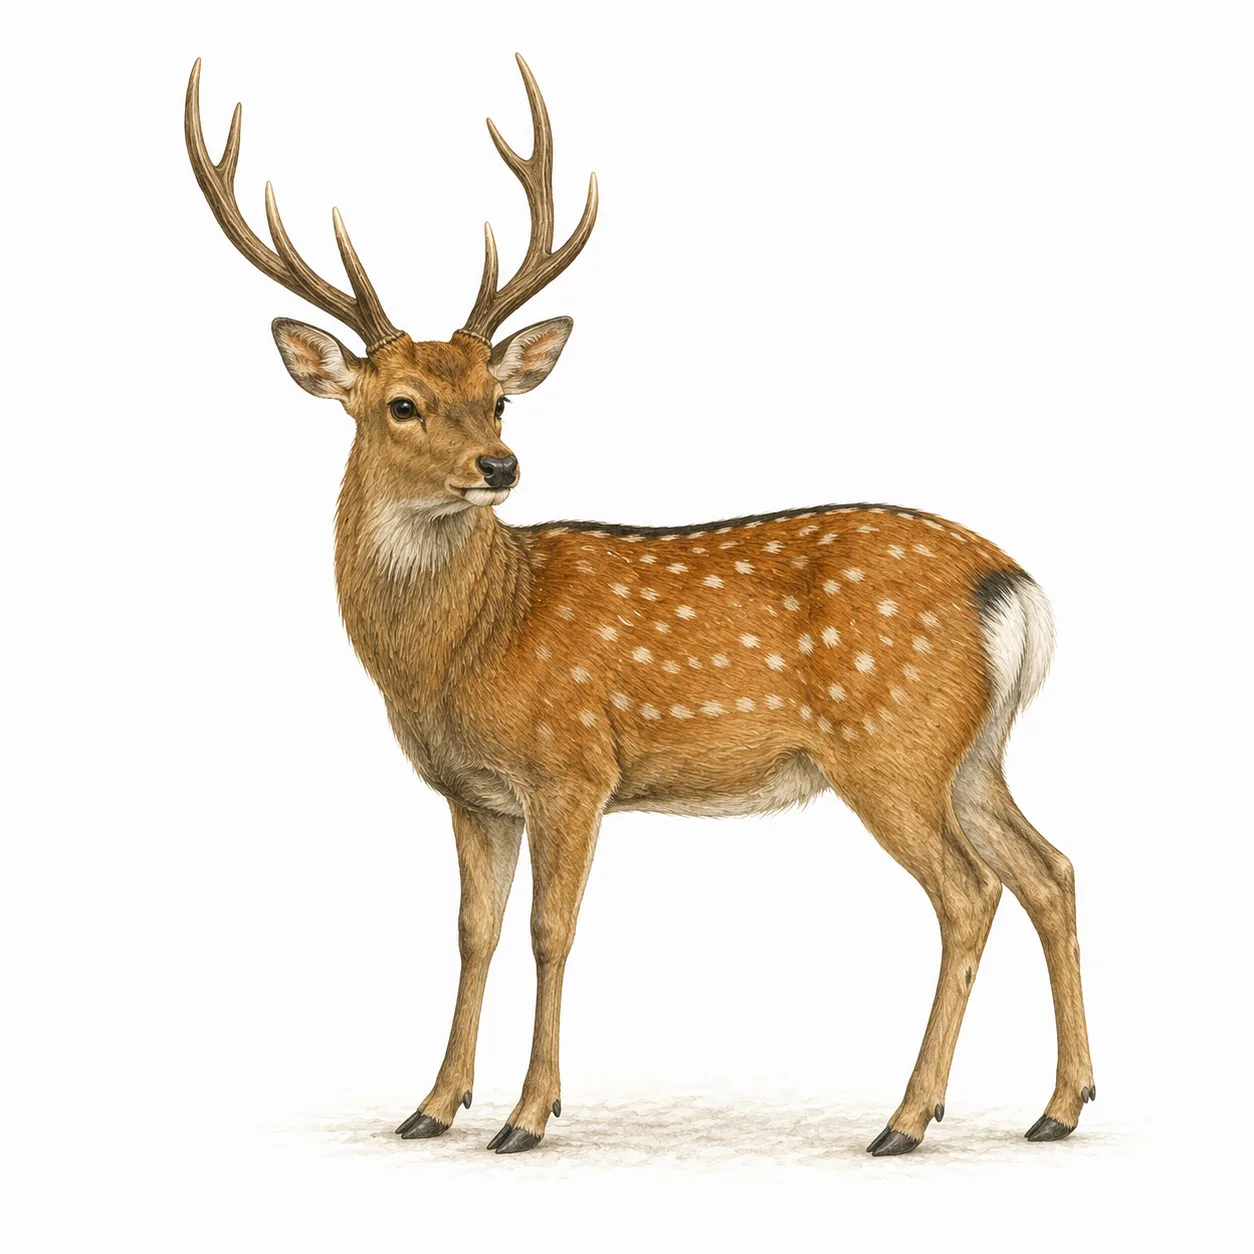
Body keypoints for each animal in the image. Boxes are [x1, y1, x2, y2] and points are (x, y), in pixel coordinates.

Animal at [185, 54, 1095, 1157]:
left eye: (500, 396)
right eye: (402, 403)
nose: (500, 465)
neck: (464, 647)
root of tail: (1014, 588)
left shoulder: (572, 765)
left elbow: (551, 931)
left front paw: (527, 1116)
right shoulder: (472, 793)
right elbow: (473, 931)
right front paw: (432, 1106)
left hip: (893, 744)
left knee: (971, 892)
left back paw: (908, 1119)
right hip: (973, 750)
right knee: (1051, 869)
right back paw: (1058, 1106)